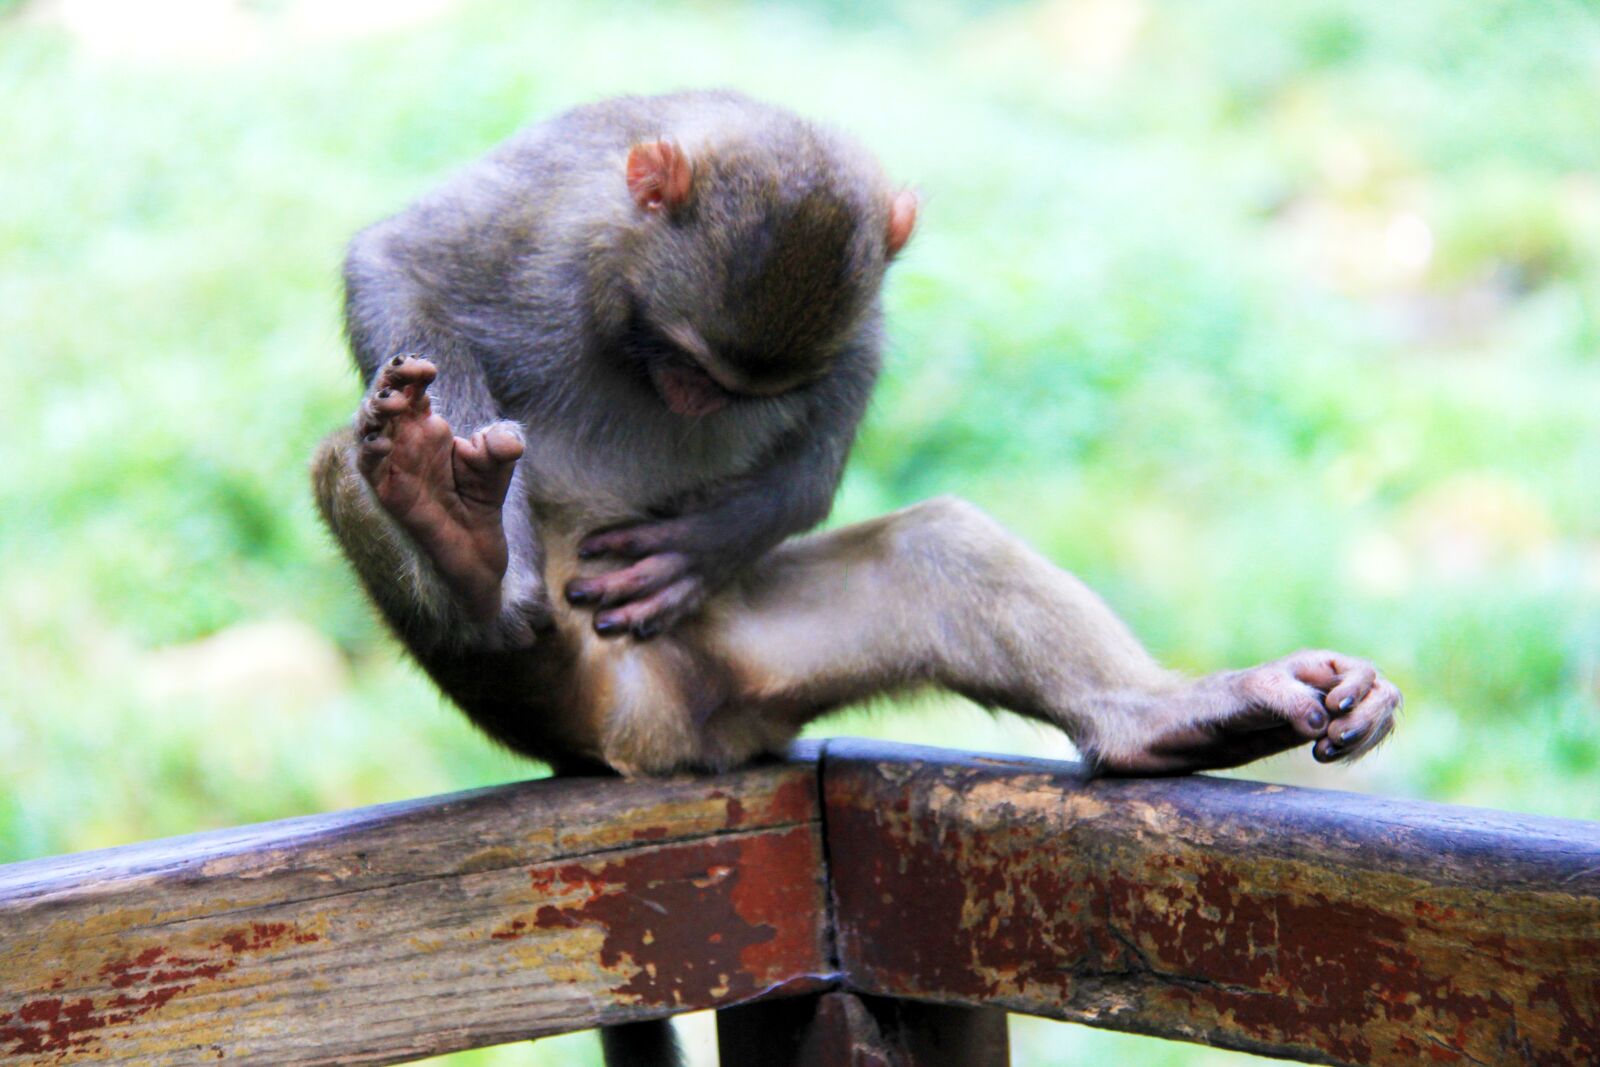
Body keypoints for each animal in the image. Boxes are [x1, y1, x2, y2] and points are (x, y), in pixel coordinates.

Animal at [312, 90, 1401, 1064]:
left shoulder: (847, 309)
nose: (694, 399)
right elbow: (396, 261)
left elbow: (850, 379)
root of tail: (653, 737)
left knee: (941, 549)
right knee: (353, 469)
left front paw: (718, 536)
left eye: (738, 384)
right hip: (543, 681)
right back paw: (462, 545)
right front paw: (481, 516)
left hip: (740, 665)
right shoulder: (547, 223)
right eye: (681, 356)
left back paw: (1168, 719)